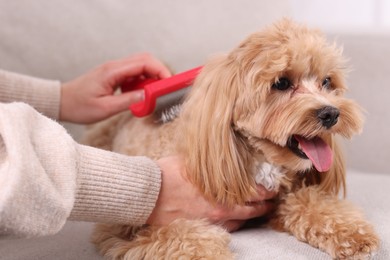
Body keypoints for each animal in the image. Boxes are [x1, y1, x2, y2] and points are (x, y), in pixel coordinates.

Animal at [84, 19, 380, 258]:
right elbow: (183, 238)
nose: (331, 113)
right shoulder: (129, 227)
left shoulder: (283, 198)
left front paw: (352, 232)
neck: (256, 158)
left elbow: (312, 202)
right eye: (281, 83)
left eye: (327, 82)